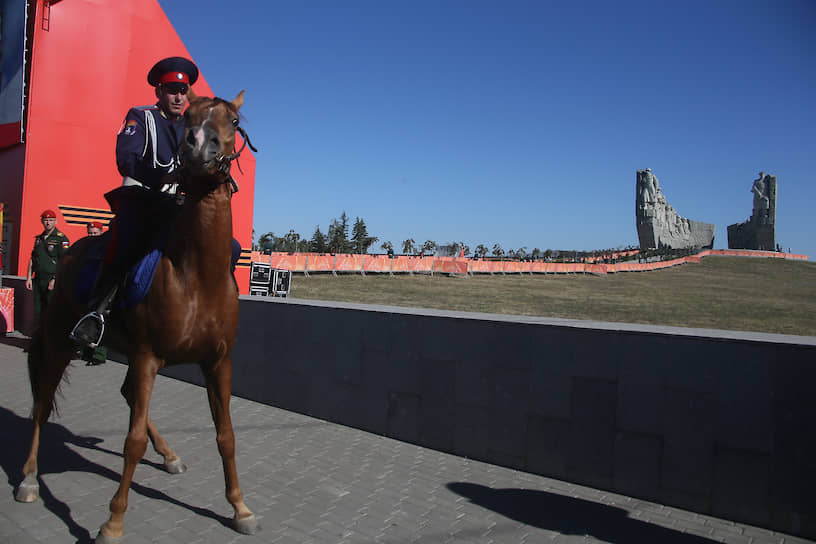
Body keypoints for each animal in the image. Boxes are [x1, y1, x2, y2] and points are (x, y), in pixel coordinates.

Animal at [16, 91, 258, 540]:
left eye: (233, 120)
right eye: (189, 117)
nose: (198, 145)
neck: (197, 274)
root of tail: (71, 254)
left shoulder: (217, 362)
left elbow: (226, 436)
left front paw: (239, 507)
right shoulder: (148, 357)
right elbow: (131, 442)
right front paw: (113, 521)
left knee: (126, 394)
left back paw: (170, 455)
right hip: (59, 343)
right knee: (41, 405)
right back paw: (27, 479)